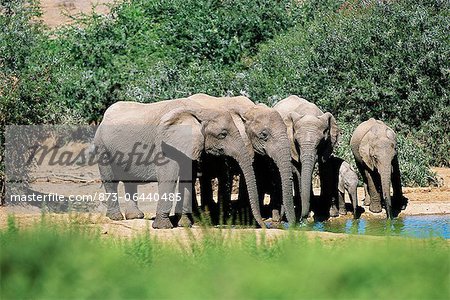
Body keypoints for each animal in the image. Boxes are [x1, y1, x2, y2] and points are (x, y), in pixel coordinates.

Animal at [94, 98, 264, 227]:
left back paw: (135, 217)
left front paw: (185, 225)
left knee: (130, 181)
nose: (264, 225)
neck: (199, 111)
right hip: (102, 146)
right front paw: (163, 227)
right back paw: (116, 217)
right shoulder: (165, 143)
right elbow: (168, 177)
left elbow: (188, 179)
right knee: (110, 180)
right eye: (223, 134)